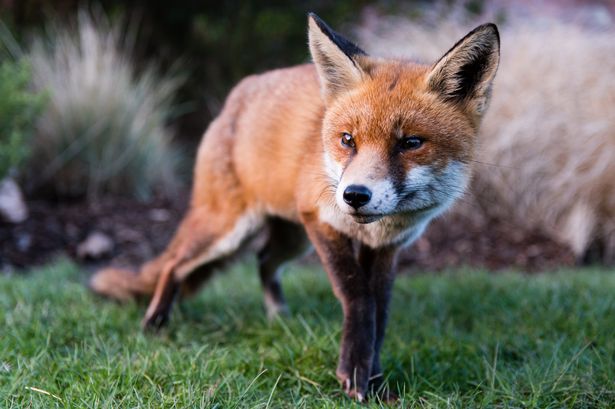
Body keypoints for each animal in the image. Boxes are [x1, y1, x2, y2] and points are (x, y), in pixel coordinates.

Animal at [90, 13, 500, 402]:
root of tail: (235, 96)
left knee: (263, 260)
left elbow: (379, 313)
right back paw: (155, 323)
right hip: (229, 228)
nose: (354, 195)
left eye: (411, 143)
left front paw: (376, 381)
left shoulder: (387, 247)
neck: (377, 228)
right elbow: (357, 297)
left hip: (290, 238)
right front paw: (354, 375)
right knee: (174, 264)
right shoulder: (321, 220)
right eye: (347, 140)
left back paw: (278, 318)